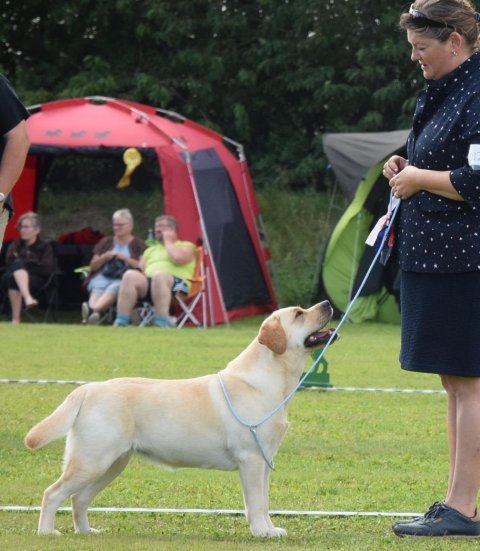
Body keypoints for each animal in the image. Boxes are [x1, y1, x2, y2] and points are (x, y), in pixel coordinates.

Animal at [25, 301, 336, 537]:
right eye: (299, 313)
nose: (327, 304)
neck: (271, 380)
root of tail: (88, 388)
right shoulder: (250, 459)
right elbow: (256, 503)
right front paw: (261, 532)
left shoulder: (265, 461)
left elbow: (265, 501)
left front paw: (271, 530)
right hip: (92, 460)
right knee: (52, 493)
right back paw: (47, 532)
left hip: (111, 464)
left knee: (79, 499)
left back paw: (86, 532)